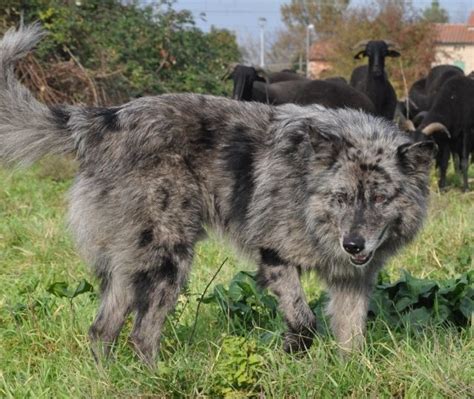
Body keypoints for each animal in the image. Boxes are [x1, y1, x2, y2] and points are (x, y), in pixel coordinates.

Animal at [0, 25, 436, 366]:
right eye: (342, 197)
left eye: (380, 199)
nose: (353, 245)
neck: (308, 191)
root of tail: (105, 119)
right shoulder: (275, 258)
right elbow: (304, 323)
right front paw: (287, 358)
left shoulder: (352, 281)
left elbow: (351, 339)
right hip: (167, 261)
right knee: (141, 335)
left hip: (132, 267)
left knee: (103, 331)